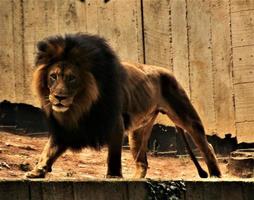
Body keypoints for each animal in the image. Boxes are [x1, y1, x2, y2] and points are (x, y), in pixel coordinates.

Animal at [24, 32, 221, 178]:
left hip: (186, 116)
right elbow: (50, 149)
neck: (81, 104)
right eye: (53, 76)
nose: (59, 97)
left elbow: (113, 155)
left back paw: (215, 175)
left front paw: (113, 176)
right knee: (142, 162)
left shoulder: (115, 122)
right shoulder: (68, 126)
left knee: (207, 146)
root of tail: (164, 70)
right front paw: (38, 170)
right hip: (138, 132)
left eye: (72, 78)